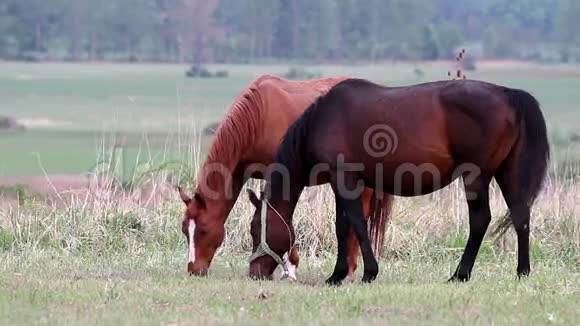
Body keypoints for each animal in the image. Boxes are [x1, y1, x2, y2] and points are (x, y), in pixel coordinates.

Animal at [177, 74, 394, 280]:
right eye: (184, 230)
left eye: (204, 230)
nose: (194, 270)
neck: (259, 116)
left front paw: (290, 269)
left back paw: (349, 271)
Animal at [248, 78, 548, 282]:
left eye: (254, 230)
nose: (254, 273)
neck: (323, 119)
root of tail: (508, 94)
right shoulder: (345, 182)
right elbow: (344, 225)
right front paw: (339, 274)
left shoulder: (343, 178)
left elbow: (354, 224)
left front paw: (366, 272)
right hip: (507, 173)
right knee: (520, 215)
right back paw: (522, 271)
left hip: (477, 176)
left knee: (480, 219)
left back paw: (460, 274)